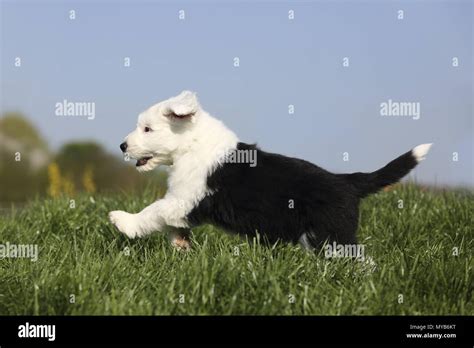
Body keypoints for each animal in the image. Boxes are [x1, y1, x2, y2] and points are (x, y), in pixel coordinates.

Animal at [108, 91, 434, 250]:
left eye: (147, 129)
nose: (123, 145)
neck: (191, 145)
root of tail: (347, 182)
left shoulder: (186, 199)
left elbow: (154, 211)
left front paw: (123, 221)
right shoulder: (184, 202)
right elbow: (169, 222)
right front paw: (180, 245)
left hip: (330, 234)